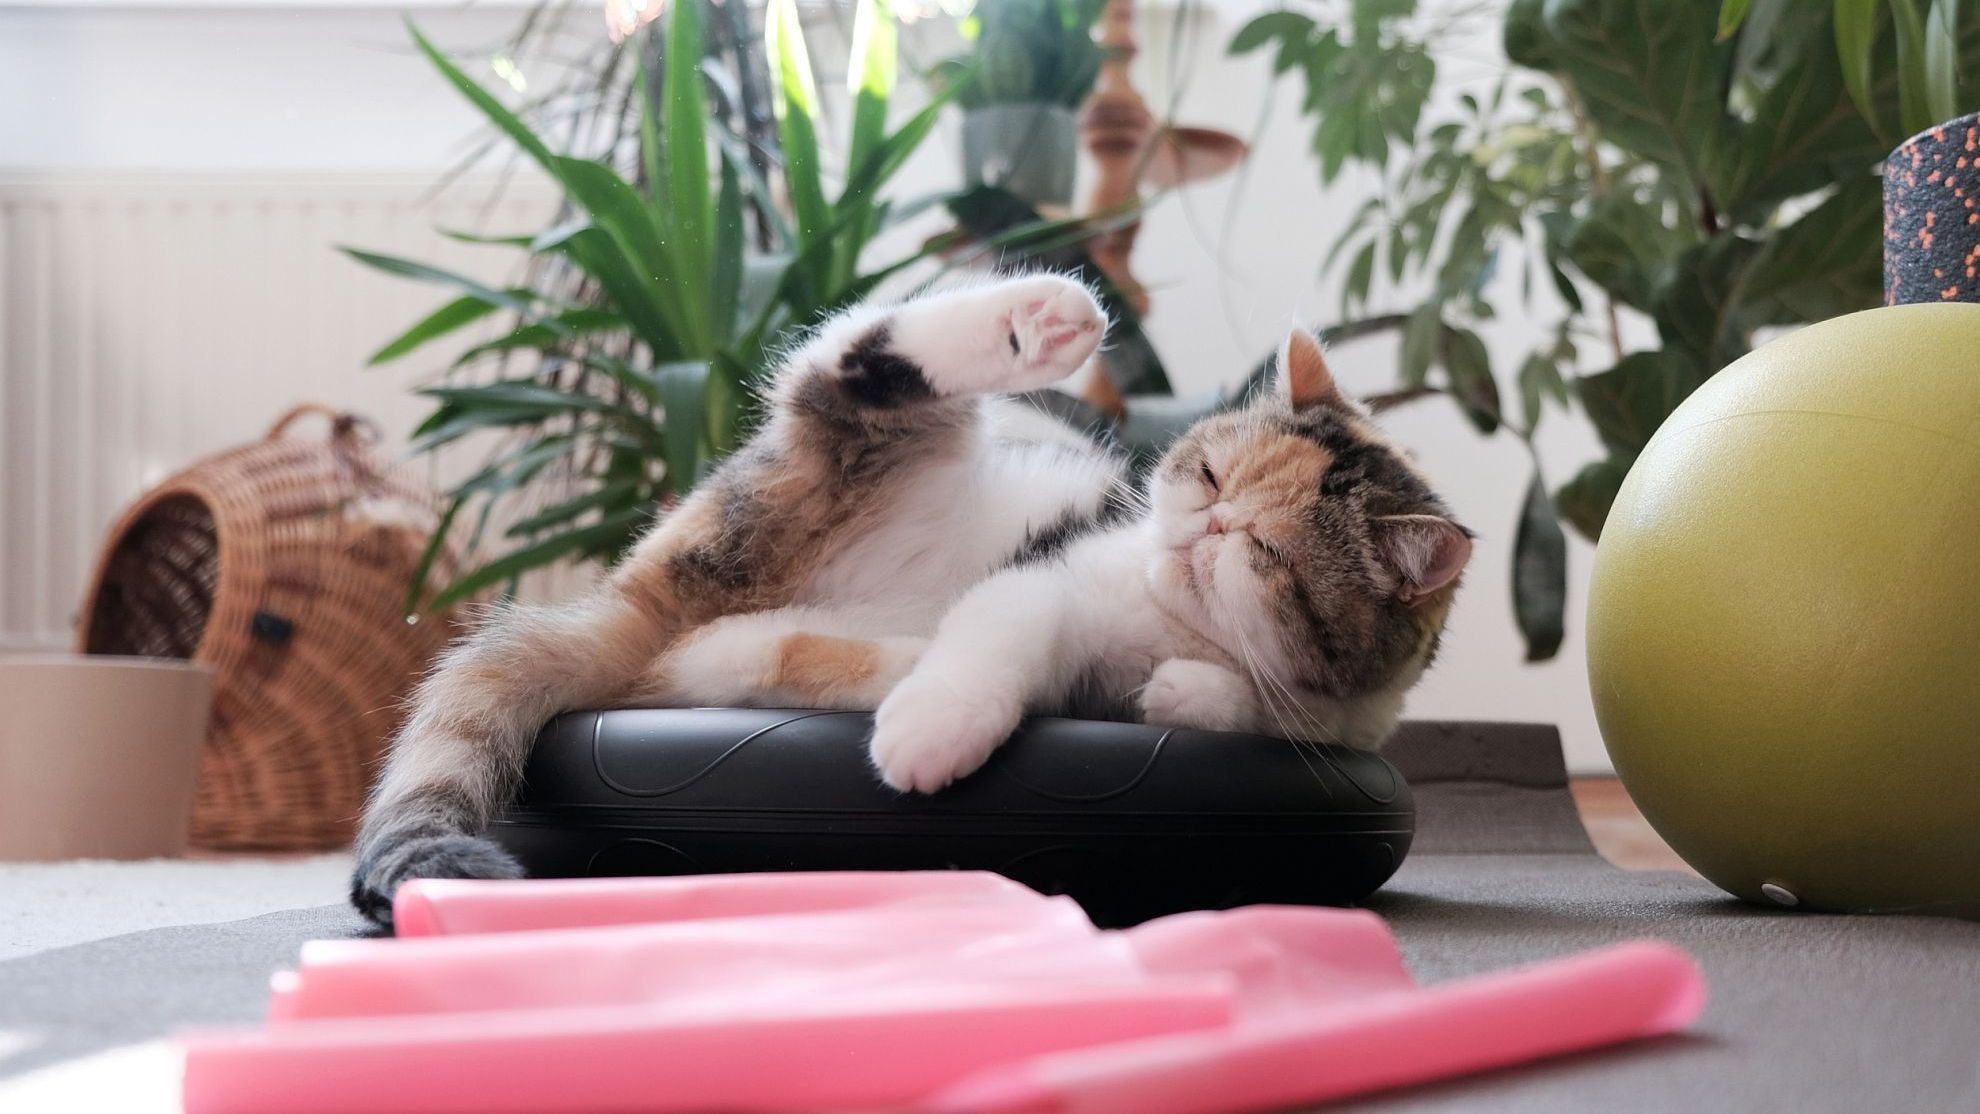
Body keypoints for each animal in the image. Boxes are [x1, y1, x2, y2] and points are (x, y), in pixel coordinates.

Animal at [352, 275, 1473, 929]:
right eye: (1205, 474)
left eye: (1267, 548)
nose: (1202, 526)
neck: (1169, 619)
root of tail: (646, 592)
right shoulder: (1051, 579)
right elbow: (998, 638)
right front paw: (937, 734)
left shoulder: (1345, 716)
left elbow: (1264, 712)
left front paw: (1185, 693)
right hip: (823, 472)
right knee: (844, 369)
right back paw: (1035, 321)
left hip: (744, 627)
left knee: (718, 655)